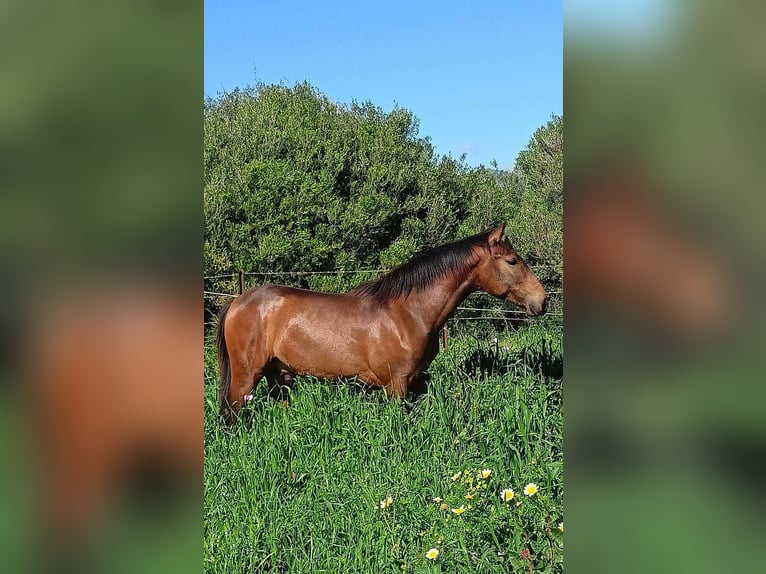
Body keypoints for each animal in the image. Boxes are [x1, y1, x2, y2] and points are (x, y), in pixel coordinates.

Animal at [216, 224, 548, 424]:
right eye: (512, 261)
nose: (541, 301)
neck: (407, 313)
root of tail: (238, 301)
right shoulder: (396, 385)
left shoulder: (416, 380)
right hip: (246, 377)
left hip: (280, 376)